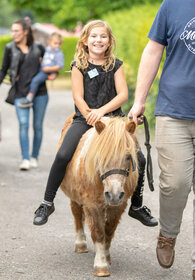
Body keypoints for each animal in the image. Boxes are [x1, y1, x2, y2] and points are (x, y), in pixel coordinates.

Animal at [59, 115, 139, 276]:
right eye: (101, 156)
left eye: (128, 157)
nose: (114, 194)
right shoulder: (92, 204)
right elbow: (98, 232)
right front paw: (101, 266)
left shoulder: (118, 206)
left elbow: (108, 230)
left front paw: (106, 258)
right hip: (75, 196)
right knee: (77, 214)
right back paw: (80, 244)